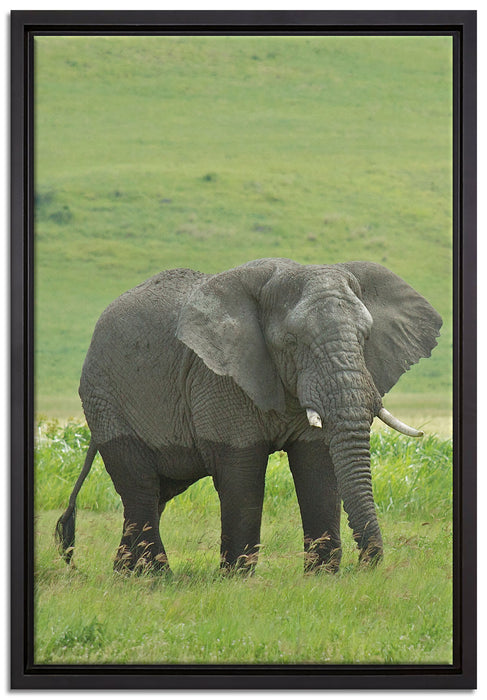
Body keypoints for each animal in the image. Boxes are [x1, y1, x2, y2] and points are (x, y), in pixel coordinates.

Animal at [56, 257, 442, 575]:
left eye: (366, 337)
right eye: (291, 342)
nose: (366, 565)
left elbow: (318, 465)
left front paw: (322, 576)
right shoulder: (218, 376)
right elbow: (241, 471)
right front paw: (237, 578)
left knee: (157, 493)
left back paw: (126, 574)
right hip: (106, 399)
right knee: (141, 489)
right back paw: (156, 577)